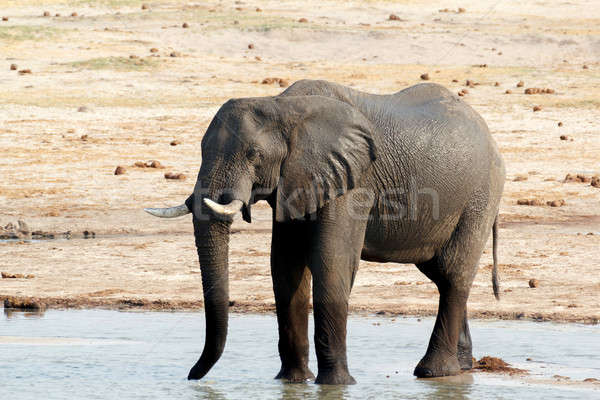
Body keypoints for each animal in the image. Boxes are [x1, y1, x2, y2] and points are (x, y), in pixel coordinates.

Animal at [145, 79, 506, 384]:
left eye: (254, 155)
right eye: (201, 150)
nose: (192, 376)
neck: (283, 106)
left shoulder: (354, 181)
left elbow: (331, 262)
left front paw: (336, 385)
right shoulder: (295, 180)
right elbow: (285, 266)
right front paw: (291, 382)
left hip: (480, 196)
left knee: (453, 275)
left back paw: (433, 373)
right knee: (441, 275)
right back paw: (462, 368)